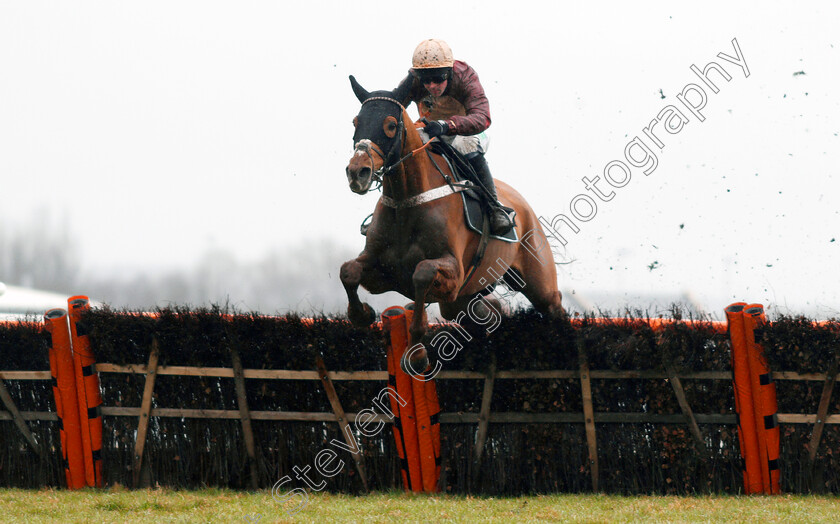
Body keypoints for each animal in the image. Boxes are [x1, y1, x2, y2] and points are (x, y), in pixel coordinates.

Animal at [340, 77, 564, 372]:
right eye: (356, 121)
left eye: (390, 125)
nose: (357, 173)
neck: (407, 201)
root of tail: (524, 205)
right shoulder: (381, 272)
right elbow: (348, 270)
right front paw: (362, 314)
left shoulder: (453, 273)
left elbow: (422, 273)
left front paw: (417, 353)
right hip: (462, 297)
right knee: (481, 313)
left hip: (539, 282)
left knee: (555, 306)